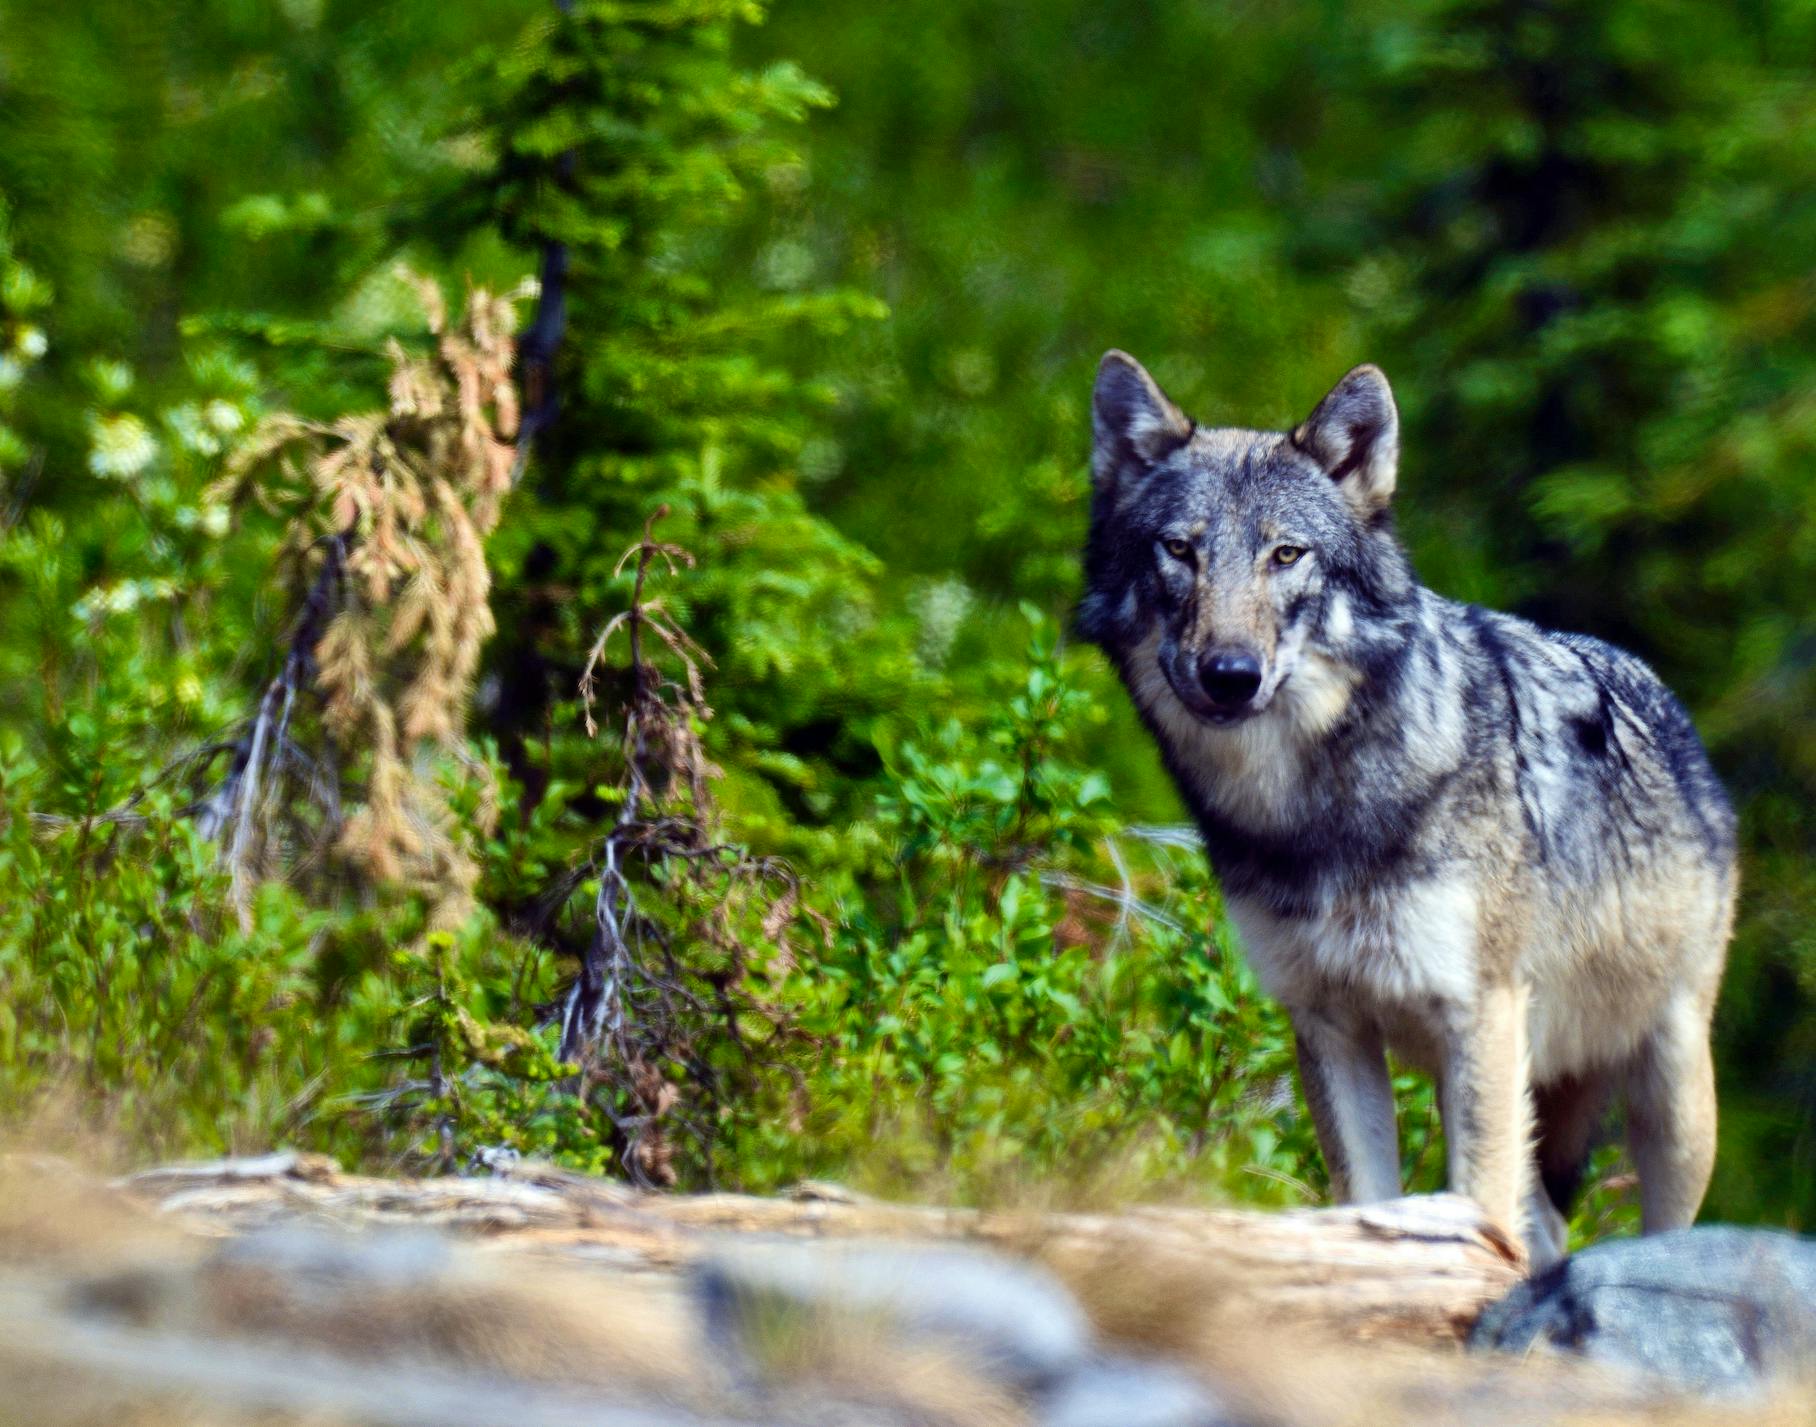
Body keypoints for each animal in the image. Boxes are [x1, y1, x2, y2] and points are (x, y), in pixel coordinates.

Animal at [1080, 351, 1736, 1265]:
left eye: (1287, 554)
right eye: (1179, 550)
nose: (1230, 674)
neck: (1313, 815)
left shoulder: (1480, 1014)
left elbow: (1475, 1205)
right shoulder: (1329, 1022)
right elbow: (1367, 1205)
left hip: (1669, 1089)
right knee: (1543, 1221)